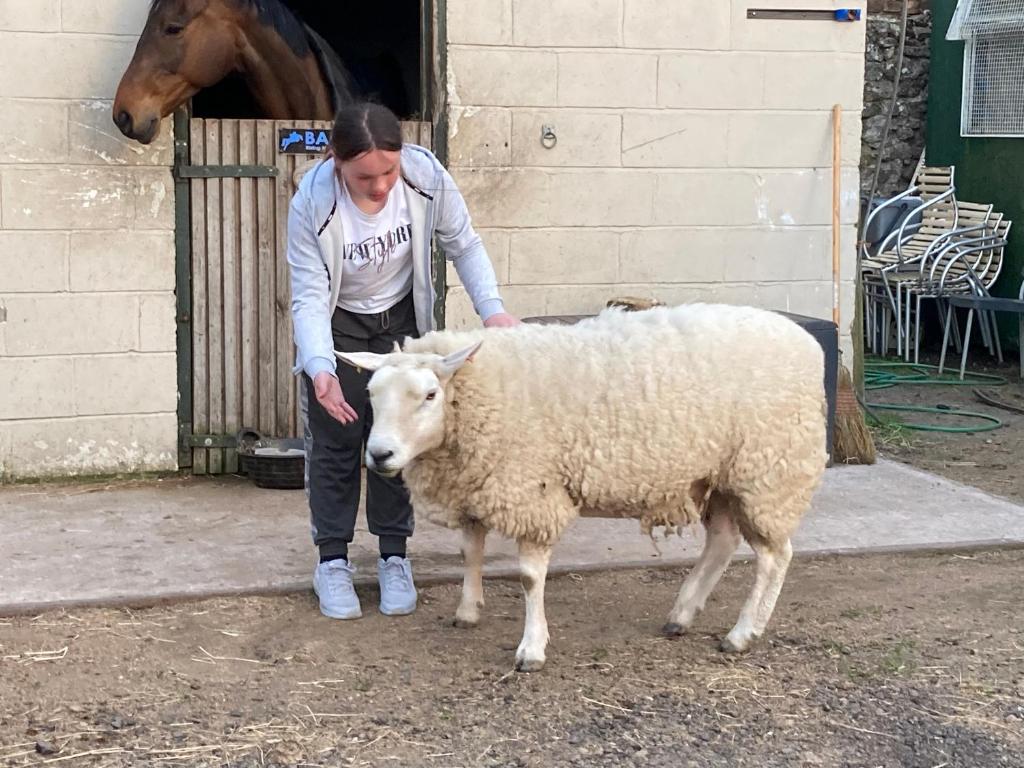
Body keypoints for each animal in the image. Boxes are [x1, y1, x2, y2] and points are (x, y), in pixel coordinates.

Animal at [336, 302, 828, 672]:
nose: (379, 455)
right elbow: (470, 552)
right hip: (721, 474)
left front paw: (532, 649)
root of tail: (805, 342)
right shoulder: (479, 484)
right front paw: (468, 610)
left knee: (774, 558)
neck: (484, 394)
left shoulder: (532, 490)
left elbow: (530, 578)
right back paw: (682, 615)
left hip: (769, 472)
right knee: (724, 542)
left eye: (429, 395)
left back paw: (742, 634)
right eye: (372, 394)